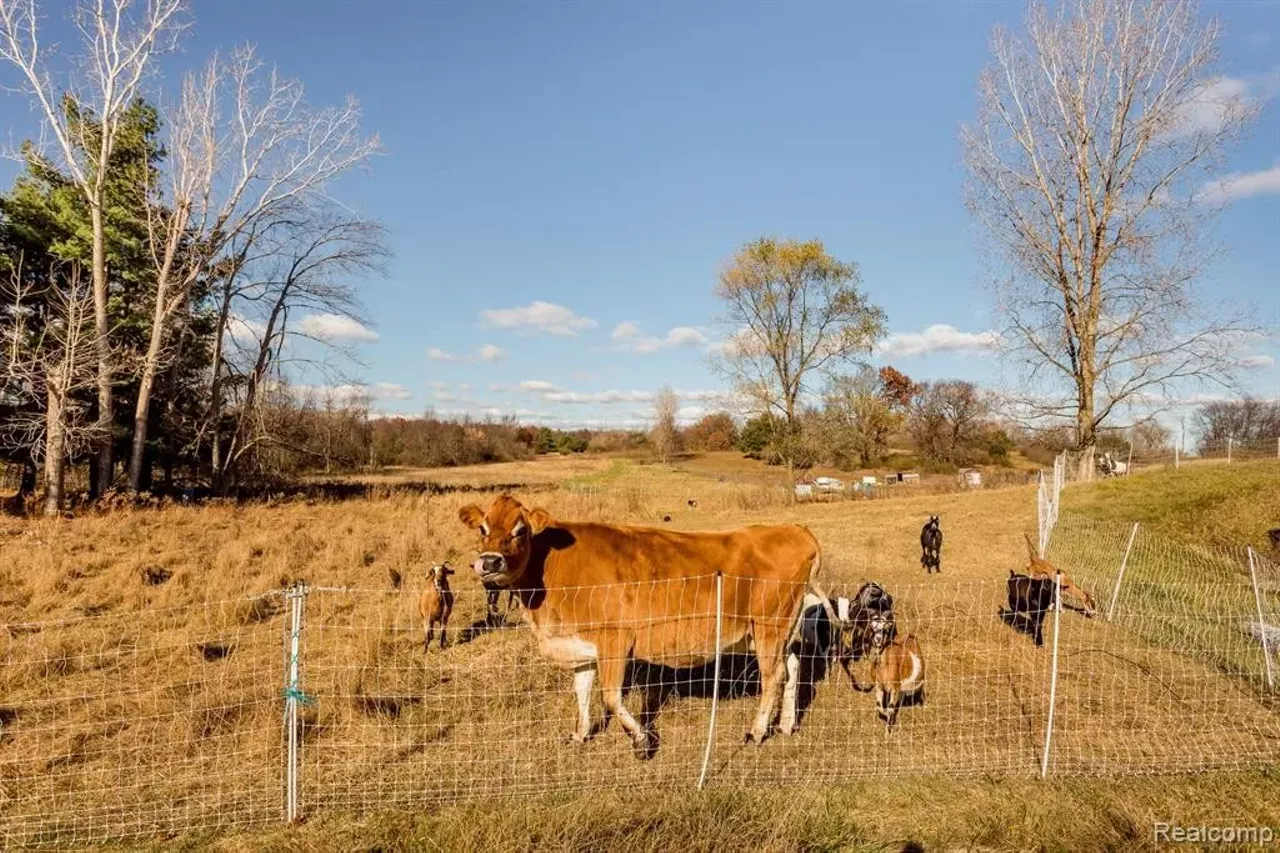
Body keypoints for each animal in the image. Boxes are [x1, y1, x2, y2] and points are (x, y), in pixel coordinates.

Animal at [455, 491, 824, 758]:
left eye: (521, 530)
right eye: (483, 529)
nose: (489, 562)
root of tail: (794, 528)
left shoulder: (615, 640)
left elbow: (611, 697)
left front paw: (641, 740)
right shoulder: (581, 645)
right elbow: (582, 691)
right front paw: (580, 734)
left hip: (769, 626)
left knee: (773, 676)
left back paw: (757, 732)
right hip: (777, 630)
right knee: (792, 667)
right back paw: (786, 725)